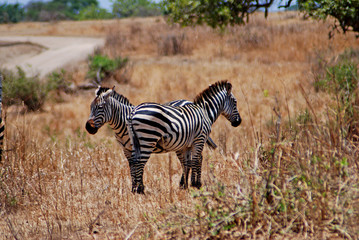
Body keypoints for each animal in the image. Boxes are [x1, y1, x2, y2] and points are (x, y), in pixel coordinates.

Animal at [85, 86, 218, 193]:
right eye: (90, 107)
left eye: (100, 107)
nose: (88, 127)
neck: (123, 120)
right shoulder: (127, 149)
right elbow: (132, 165)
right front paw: (135, 187)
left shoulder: (134, 147)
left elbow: (137, 165)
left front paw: (137, 187)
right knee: (191, 160)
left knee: (195, 159)